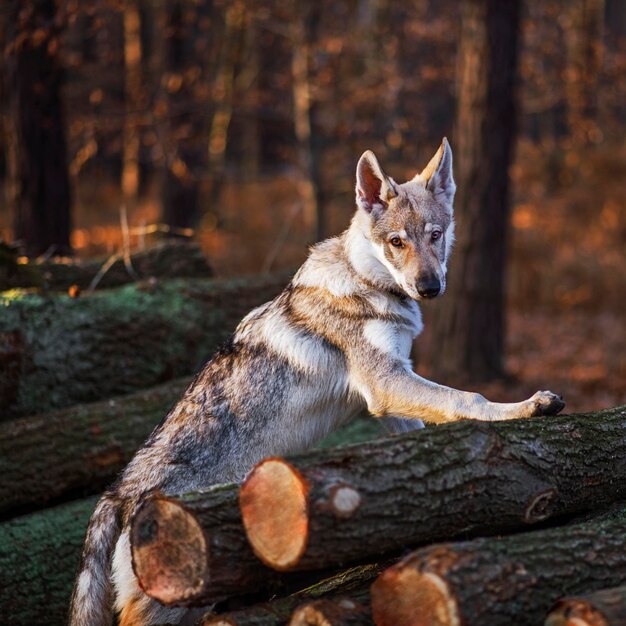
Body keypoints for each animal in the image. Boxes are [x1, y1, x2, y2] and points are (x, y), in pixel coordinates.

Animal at [69, 140, 564, 624]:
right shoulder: (386, 383)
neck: (368, 283)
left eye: (435, 236)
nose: (429, 287)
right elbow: (471, 398)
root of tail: (117, 494)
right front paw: (528, 407)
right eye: (396, 242)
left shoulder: (390, 395)